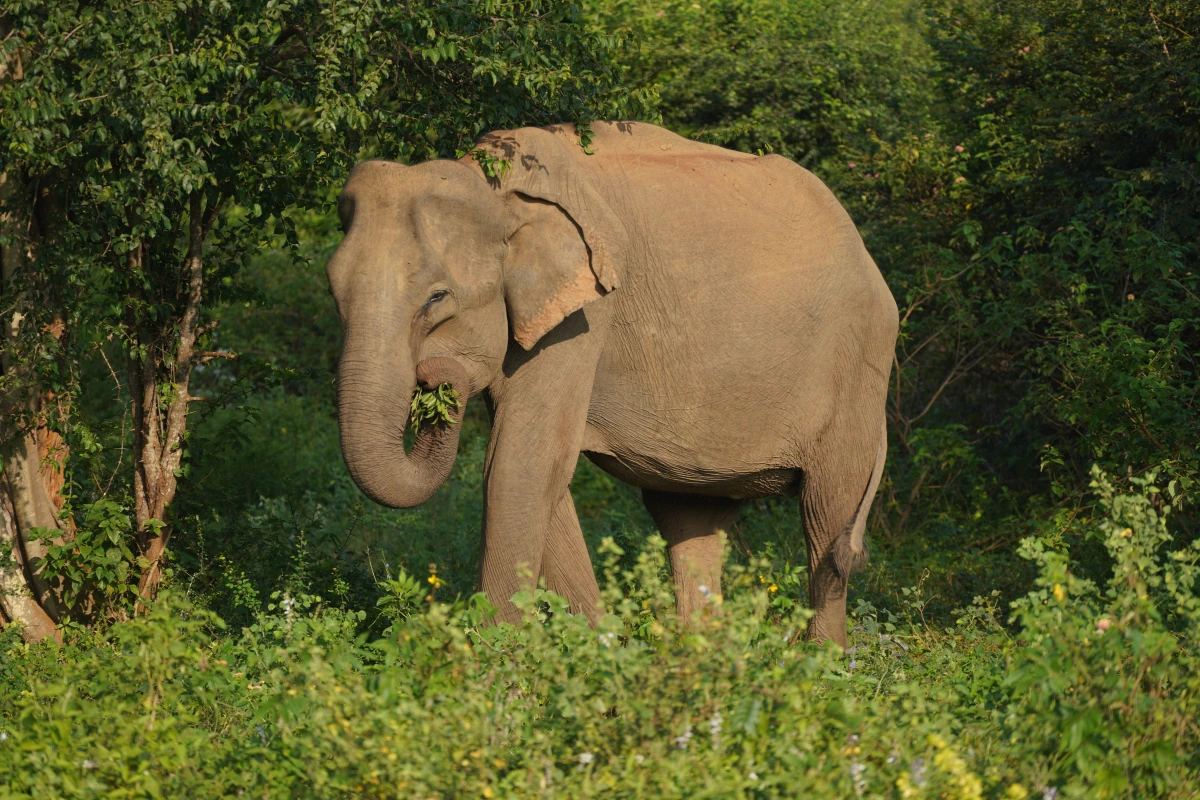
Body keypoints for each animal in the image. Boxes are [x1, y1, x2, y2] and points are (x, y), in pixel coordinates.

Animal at [328, 120, 902, 642]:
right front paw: (599, 651)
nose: (434, 377)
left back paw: (823, 665)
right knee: (691, 521)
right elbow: (538, 470)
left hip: (858, 368)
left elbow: (520, 464)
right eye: (334, 293)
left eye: (437, 298)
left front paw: (493, 667)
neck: (494, 188)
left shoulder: (589, 310)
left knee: (826, 518)